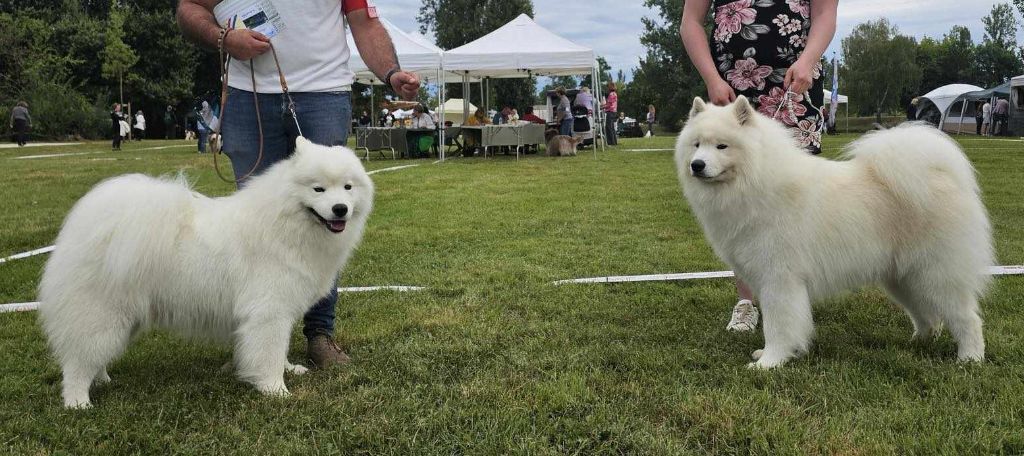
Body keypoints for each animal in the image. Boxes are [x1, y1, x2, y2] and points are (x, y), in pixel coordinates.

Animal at [41, 135, 376, 405]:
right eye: (318, 189)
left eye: (347, 187)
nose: (340, 209)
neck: (284, 224)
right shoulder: (268, 312)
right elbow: (268, 353)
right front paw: (275, 390)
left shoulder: (279, 312)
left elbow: (278, 351)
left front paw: (289, 370)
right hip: (102, 313)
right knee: (77, 361)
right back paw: (78, 402)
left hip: (124, 318)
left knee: (92, 355)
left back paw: (102, 380)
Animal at [675, 96, 995, 368]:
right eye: (696, 145)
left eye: (722, 146)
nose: (697, 165)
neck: (757, 181)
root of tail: (940, 175)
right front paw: (768, 355)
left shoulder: (779, 279)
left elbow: (779, 325)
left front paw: (769, 363)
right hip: (904, 278)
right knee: (927, 315)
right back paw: (918, 343)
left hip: (937, 273)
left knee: (967, 318)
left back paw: (970, 359)